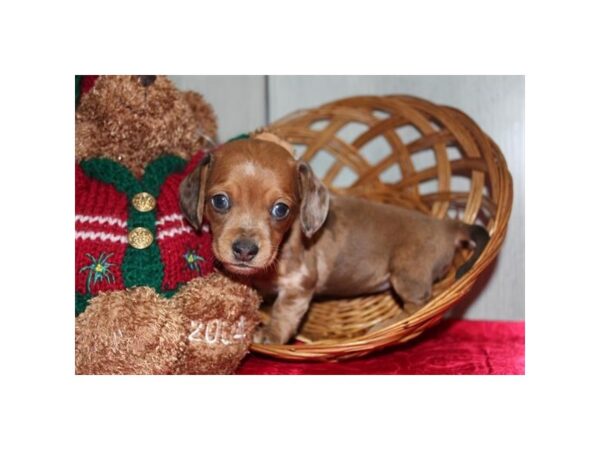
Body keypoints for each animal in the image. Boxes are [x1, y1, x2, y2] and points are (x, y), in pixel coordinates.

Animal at [180, 139, 490, 342]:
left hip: (407, 275)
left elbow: (282, 314)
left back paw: (386, 324)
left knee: (417, 307)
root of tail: (448, 226)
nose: (245, 250)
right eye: (219, 201)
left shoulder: (299, 286)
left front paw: (270, 336)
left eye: (281, 209)